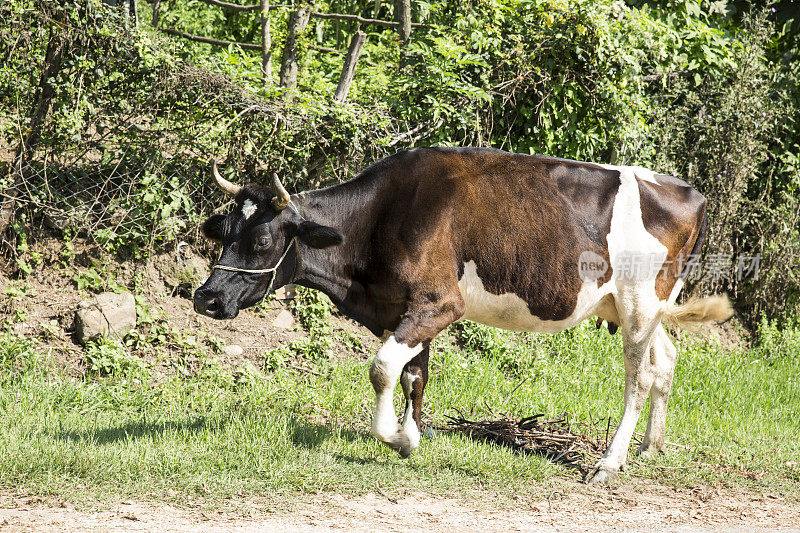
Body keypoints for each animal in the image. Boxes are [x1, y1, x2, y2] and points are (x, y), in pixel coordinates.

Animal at [194, 147, 732, 482]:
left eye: (263, 240)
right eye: (221, 231)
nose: (206, 298)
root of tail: (689, 190)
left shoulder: (440, 302)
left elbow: (381, 368)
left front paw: (397, 439)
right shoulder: (407, 307)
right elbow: (413, 374)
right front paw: (412, 431)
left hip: (641, 300)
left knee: (638, 376)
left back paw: (609, 462)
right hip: (635, 306)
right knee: (666, 359)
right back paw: (650, 447)